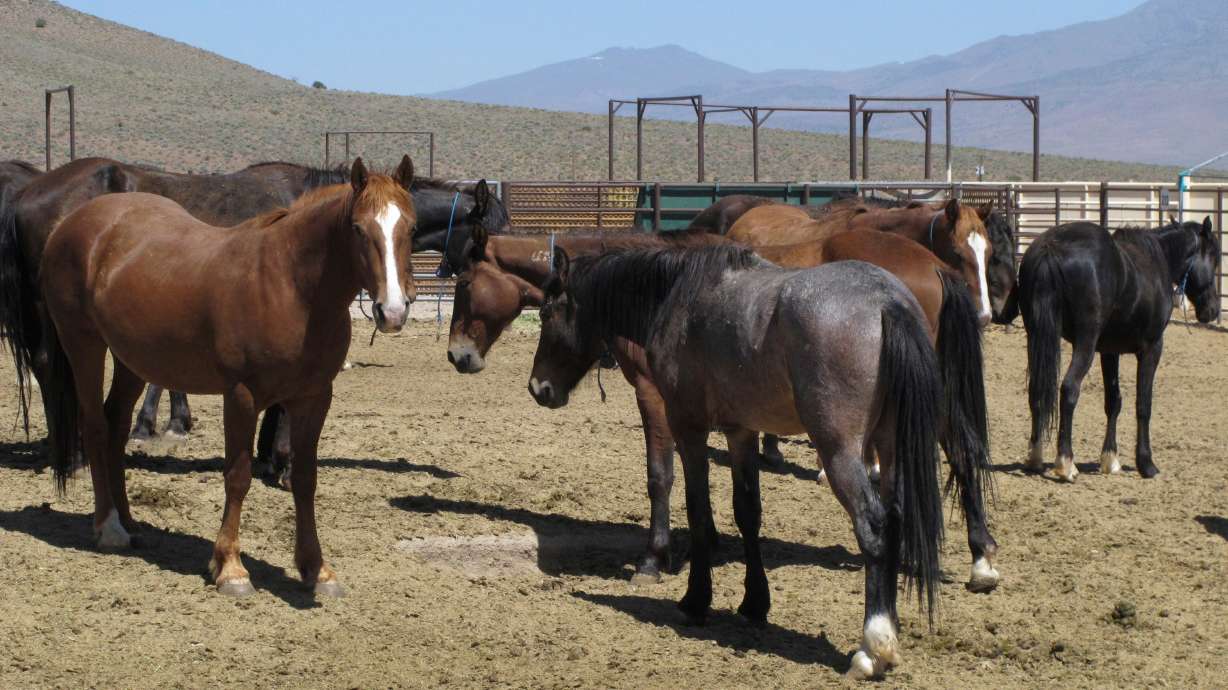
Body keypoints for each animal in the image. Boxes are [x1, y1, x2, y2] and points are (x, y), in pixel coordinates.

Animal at [37, 158, 415, 596]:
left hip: (132, 359)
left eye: (410, 227)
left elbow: (305, 479)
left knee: (115, 426)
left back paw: (130, 521)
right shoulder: (242, 396)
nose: (393, 311)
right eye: (357, 228)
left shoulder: (314, 397)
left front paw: (317, 570)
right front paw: (230, 568)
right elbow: (238, 477)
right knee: (96, 427)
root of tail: (71, 223)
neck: (290, 285)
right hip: (83, 343)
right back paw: (109, 526)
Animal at [447, 225, 998, 593]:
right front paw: (707, 541)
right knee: (962, 454)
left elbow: (661, 476)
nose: (458, 356)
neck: (660, 293)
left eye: (463, 284)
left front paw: (655, 558)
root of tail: (930, 267)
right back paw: (975, 556)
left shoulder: (656, 398)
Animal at [528, 245, 945, 680]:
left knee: (874, 527)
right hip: (890, 448)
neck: (678, 295)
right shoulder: (741, 431)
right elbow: (748, 513)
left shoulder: (687, 427)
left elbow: (696, 508)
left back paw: (873, 648)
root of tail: (885, 300)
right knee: (896, 520)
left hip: (840, 452)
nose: (538, 388)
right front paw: (754, 604)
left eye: (546, 313)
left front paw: (695, 600)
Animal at [1019, 218, 1220, 481]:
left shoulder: (1109, 351)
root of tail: (1051, 247)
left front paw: (1110, 459)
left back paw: (1035, 457)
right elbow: (1143, 405)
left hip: (1036, 336)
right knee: (1069, 389)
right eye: (1215, 258)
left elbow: (1113, 402)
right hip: (1085, 342)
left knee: (1036, 391)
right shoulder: (1151, 349)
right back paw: (1066, 464)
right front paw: (1146, 464)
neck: (1158, 259)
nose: (1213, 310)